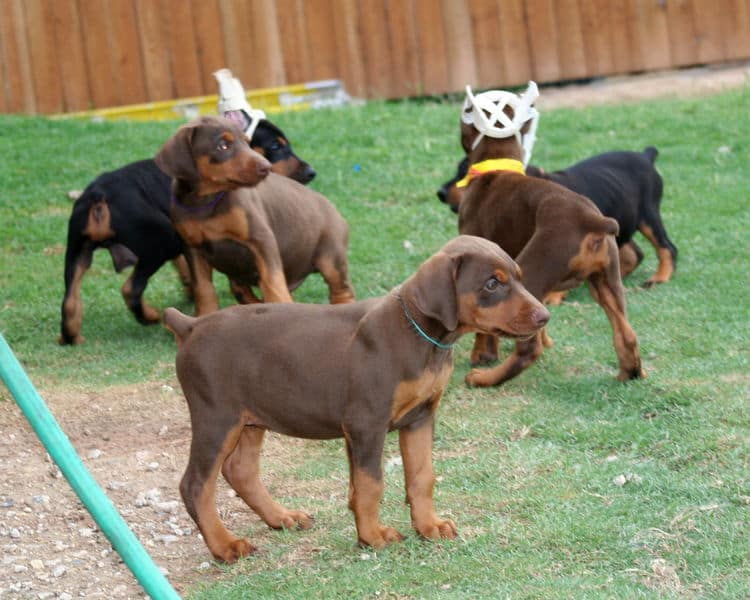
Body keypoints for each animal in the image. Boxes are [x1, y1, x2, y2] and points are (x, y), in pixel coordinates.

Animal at [156, 115, 356, 316]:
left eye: (247, 142)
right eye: (223, 145)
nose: (266, 168)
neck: (207, 202)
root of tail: (334, 209)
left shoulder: (261, 239)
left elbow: (273, 282)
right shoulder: (192, 248)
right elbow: (204, 289)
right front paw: (205, 316)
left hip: (331, 257)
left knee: (342, 290)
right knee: (240, 289)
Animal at [164, 236, 552, 564]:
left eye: (519, 278)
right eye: (492, 284)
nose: (545, 316)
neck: (420, 336)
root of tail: (192, 326)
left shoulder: (420, 417)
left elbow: (422, 476)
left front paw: (429, 526)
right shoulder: (366, 423)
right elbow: (370, 485)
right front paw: (372, 536)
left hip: (251, 418)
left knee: (240, 470)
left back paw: (282, 518)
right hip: (217, 417)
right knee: (196, 485)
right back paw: (225, 546)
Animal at [458, 106, 648, 384]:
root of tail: (590, 218)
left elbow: (487, 326)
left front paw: (482, 355)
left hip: (532, 270)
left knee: (528, 350)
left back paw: (485, 378)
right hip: (607, 282)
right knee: (627, 334)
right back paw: (629, 372)